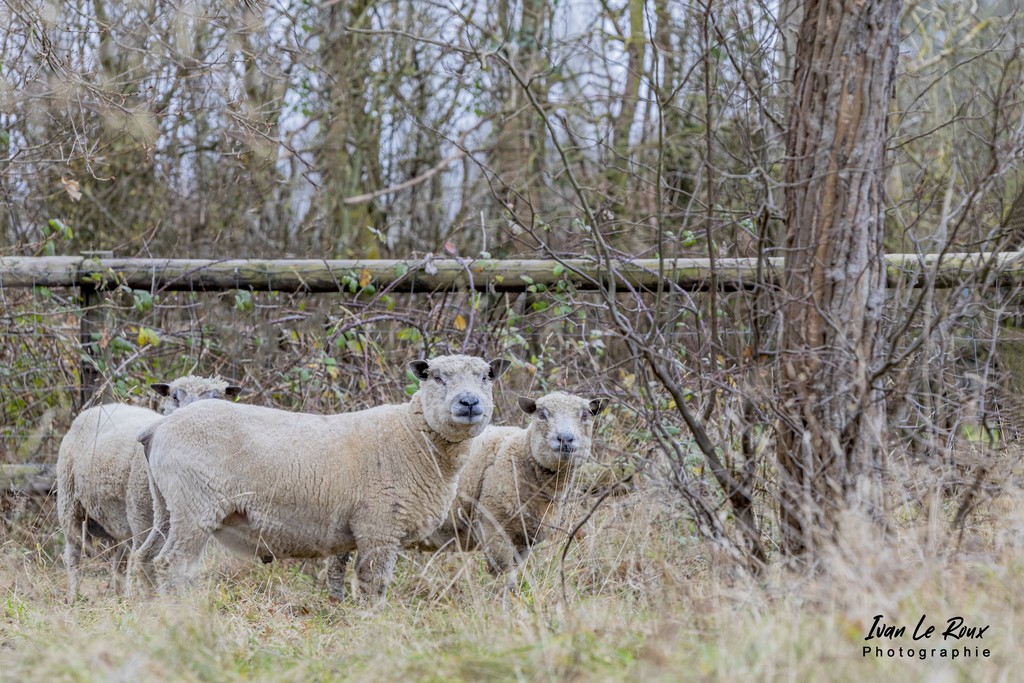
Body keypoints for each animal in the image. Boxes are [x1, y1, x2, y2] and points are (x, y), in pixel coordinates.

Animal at [56, 376, 242, 601]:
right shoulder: (142, 518)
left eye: (216, 398)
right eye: (174, 396)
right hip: (69, 501)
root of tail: (99, 407)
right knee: (75, 555)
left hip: (120, 520)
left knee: (120, 560)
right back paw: (73, 596)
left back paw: (121, 596)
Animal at [134, 354, 510, 602]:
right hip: (194, 505)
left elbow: (338, 575)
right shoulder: (379, 527)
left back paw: (151, 611)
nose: (469, 402)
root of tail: (159, 428)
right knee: (171, 564)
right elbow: (373, 583)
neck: (411, 437)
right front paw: (372, 624)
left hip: (166, 506)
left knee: (145, 557)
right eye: (436, 377)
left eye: (486, 377)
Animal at [326, 391, 607, 597]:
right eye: (542, 414)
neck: (521, 454)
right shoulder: (494, 525)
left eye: (585, 415)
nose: (565, 439)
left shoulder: (524, 538)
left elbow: (512, 574)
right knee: (337, 564)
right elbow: (501, 575)